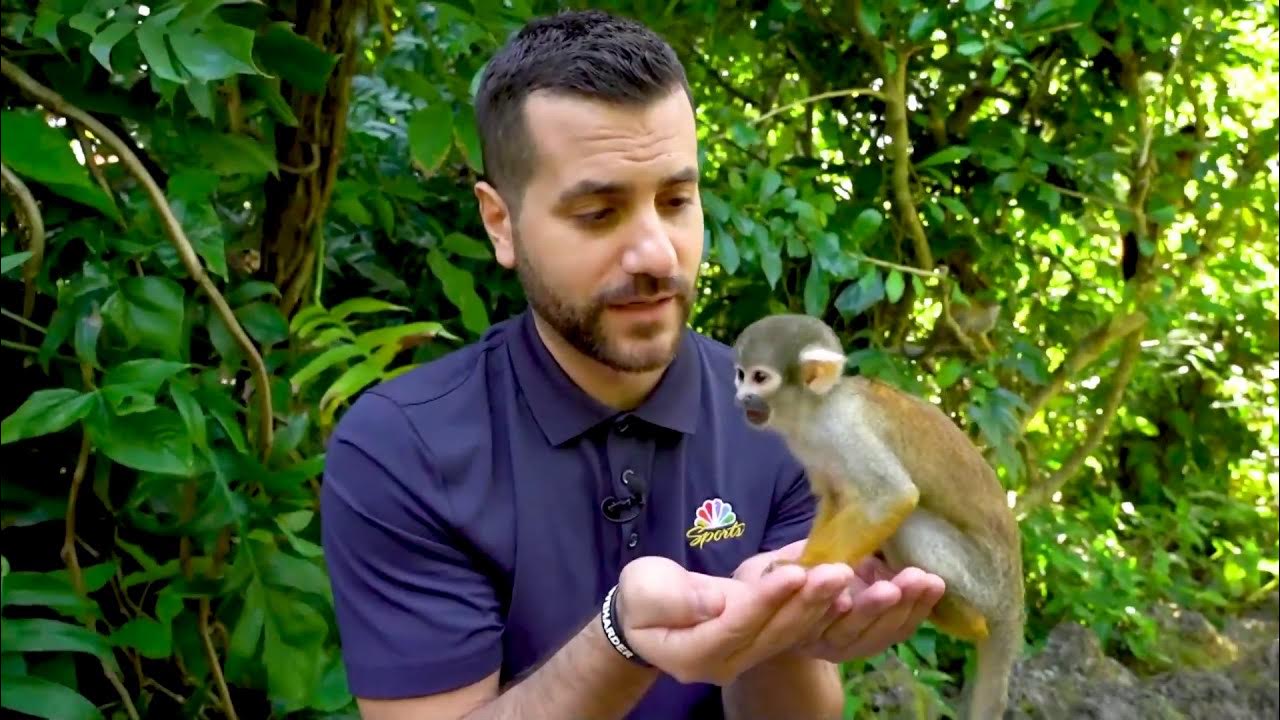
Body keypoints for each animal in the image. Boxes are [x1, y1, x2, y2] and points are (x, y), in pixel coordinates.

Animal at [731, 313, 1025, 720]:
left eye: (760, 378)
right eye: (741, 375)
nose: (741, 396)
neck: (816, 411)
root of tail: (1014, 603)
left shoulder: (847, 429)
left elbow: (892, 495)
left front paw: (807, 569)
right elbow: (836, 499)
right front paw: (806, 560)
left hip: (985, 583)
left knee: (912, 524)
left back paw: (968, 622)